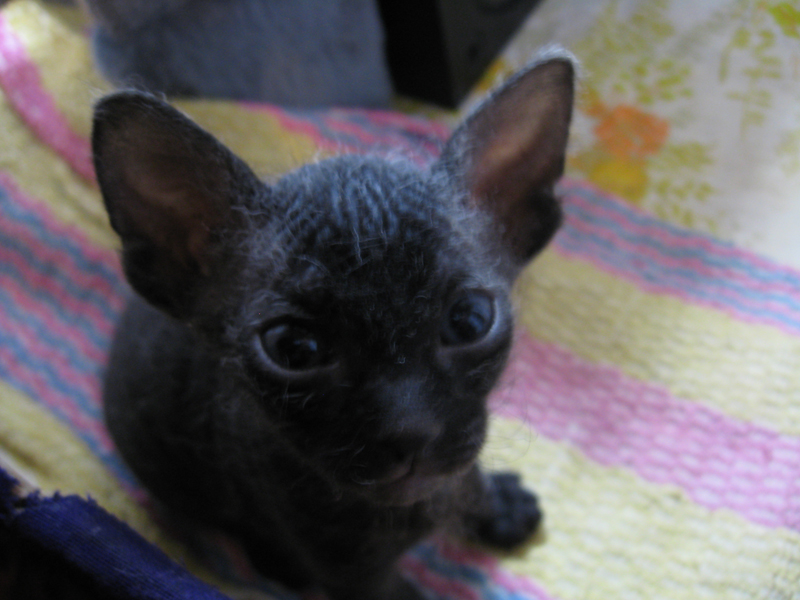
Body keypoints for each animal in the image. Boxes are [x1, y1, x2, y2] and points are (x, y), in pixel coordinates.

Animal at [93, 52, 574, 600]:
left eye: (469, 321)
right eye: (295, 349)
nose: (411, 430)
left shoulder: (454, 465)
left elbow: (466, 479)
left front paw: (495, 505)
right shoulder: (355, 578)